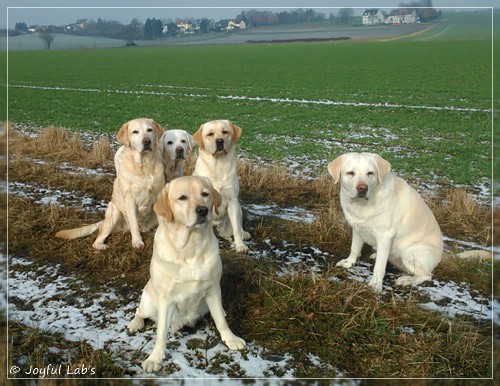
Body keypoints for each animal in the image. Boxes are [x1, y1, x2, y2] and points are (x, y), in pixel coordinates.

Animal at [55, 117, 164, 250]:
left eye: (149, 130)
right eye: (135, 132)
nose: (147, 141)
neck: (144, 165)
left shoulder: (158, 196)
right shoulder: (130, 199)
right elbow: (134, 223)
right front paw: (137, 241)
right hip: (114, 212)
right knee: (98, 239)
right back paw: (103, 246)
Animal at [129, 176, 246, 372]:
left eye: (205, 194)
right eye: (182, 198)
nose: (203, 210)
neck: (191, 248)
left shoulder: (213, 290)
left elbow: (220, 321)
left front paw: (231, 339)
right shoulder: (166, 299)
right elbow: (161, 334)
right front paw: (155, 358)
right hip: (149, 303)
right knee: (139, 311)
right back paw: (135, 323)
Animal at [191, 120, 250, 253]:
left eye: (225, 132)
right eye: (210, 134)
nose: (219, 141)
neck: (217, 166)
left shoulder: (232, 201)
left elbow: (236, 228)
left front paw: (240, 245)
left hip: (238, 208)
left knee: (238, 225)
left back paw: (244, 233)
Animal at [330, 152, 444, 294]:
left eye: (370, 173)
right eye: (350, 173)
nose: (362, 188)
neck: (362, 206)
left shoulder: (385, 235)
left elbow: (379, 267)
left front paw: (375, 285)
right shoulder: (357, 228)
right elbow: (354, 249)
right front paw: (348, 262)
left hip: (410, 252)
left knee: (426, 275)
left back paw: (405, 280)